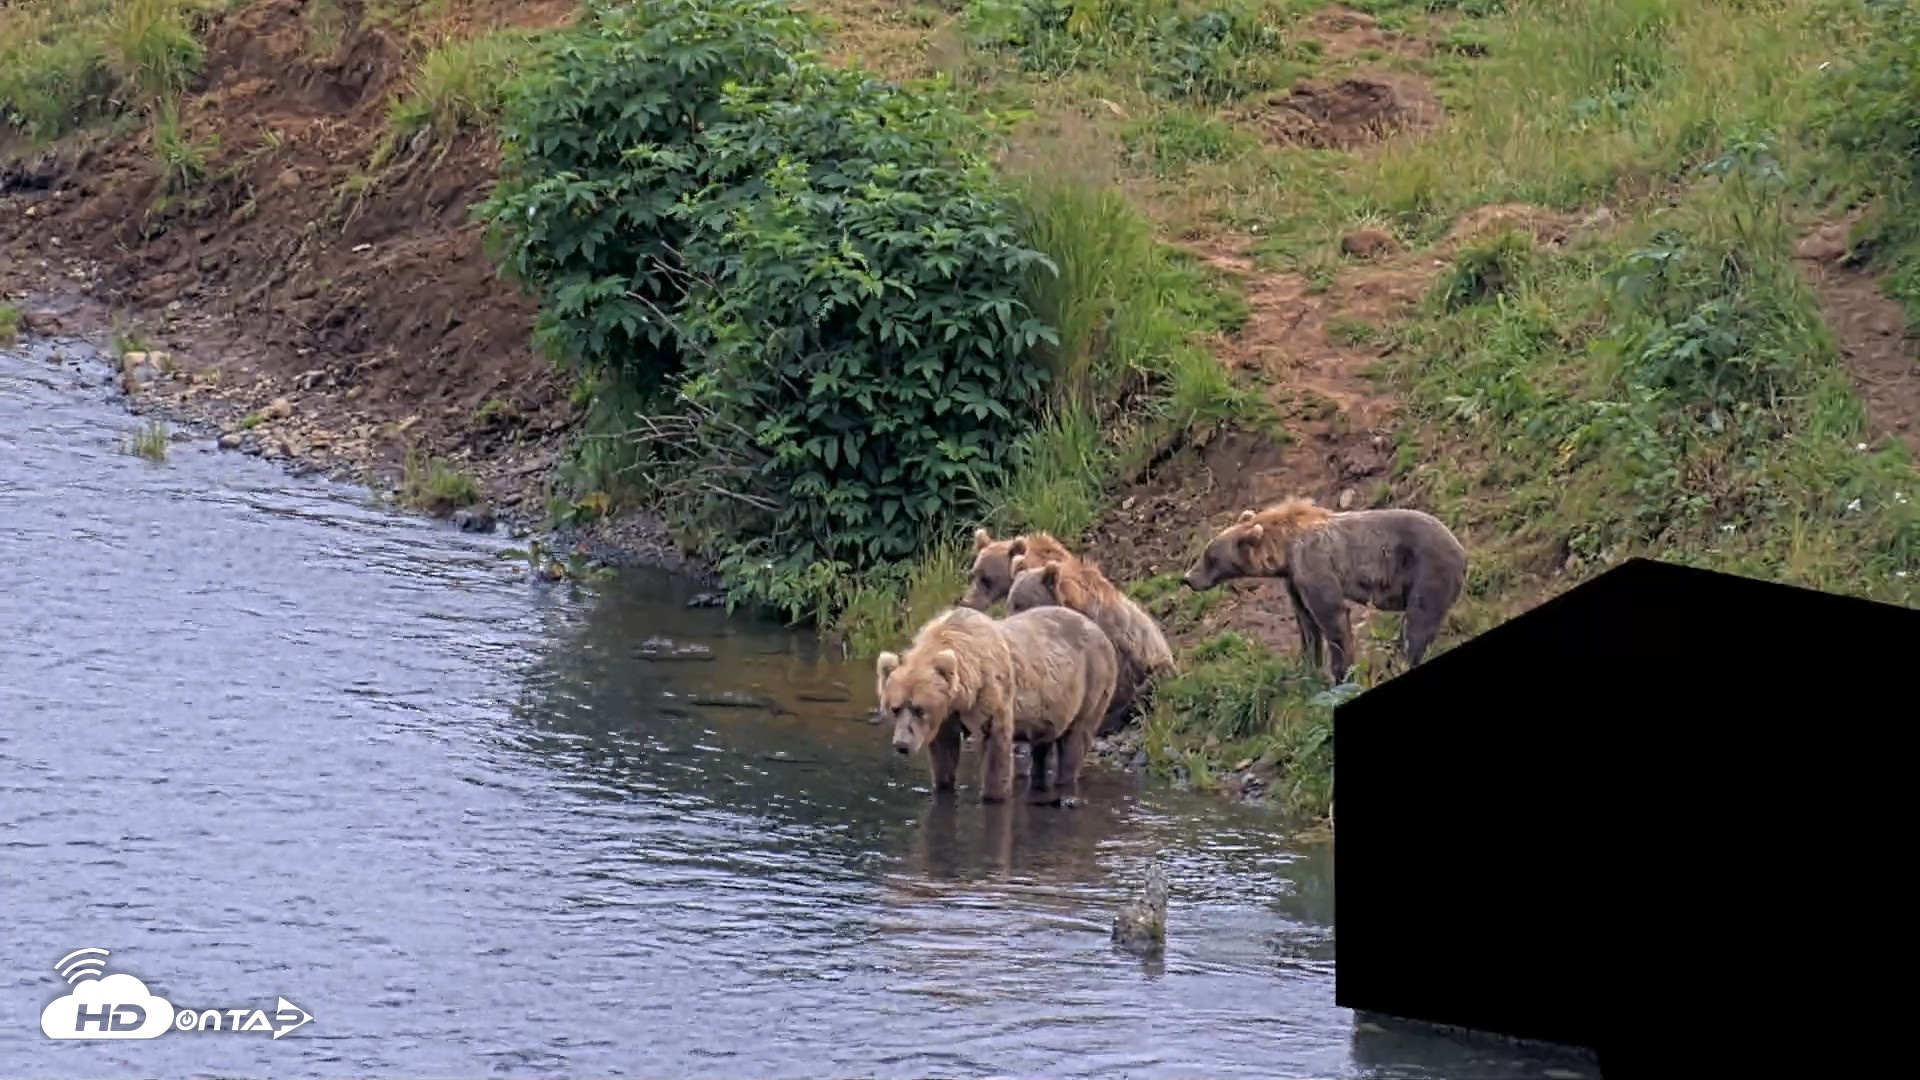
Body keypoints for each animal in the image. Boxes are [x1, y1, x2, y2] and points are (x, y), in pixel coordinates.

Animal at [876, 604, 1117, 806]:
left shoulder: (991, 688)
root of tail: (1102, 631)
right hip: (1052, 706)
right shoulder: (947, 714)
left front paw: (993, 795)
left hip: (1094, 680)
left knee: (1075, 740)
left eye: (920, 709)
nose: (902, 744)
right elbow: (944, 752)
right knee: (1043, 743)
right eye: (895, 708)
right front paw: (943, 786)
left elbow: (994, 743)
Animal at [1182, 497, 1467, 683]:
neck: (1285, 551)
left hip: (1428, 569)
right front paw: (1306, 665)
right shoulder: (1295, 579)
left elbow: (1332, 617)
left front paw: (1341, 675)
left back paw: (1401, 661)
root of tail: (1462, 550)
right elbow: (1306, 622)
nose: (1187, 578)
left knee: (1419, 623)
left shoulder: (1314, 564)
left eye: (1210, 557)